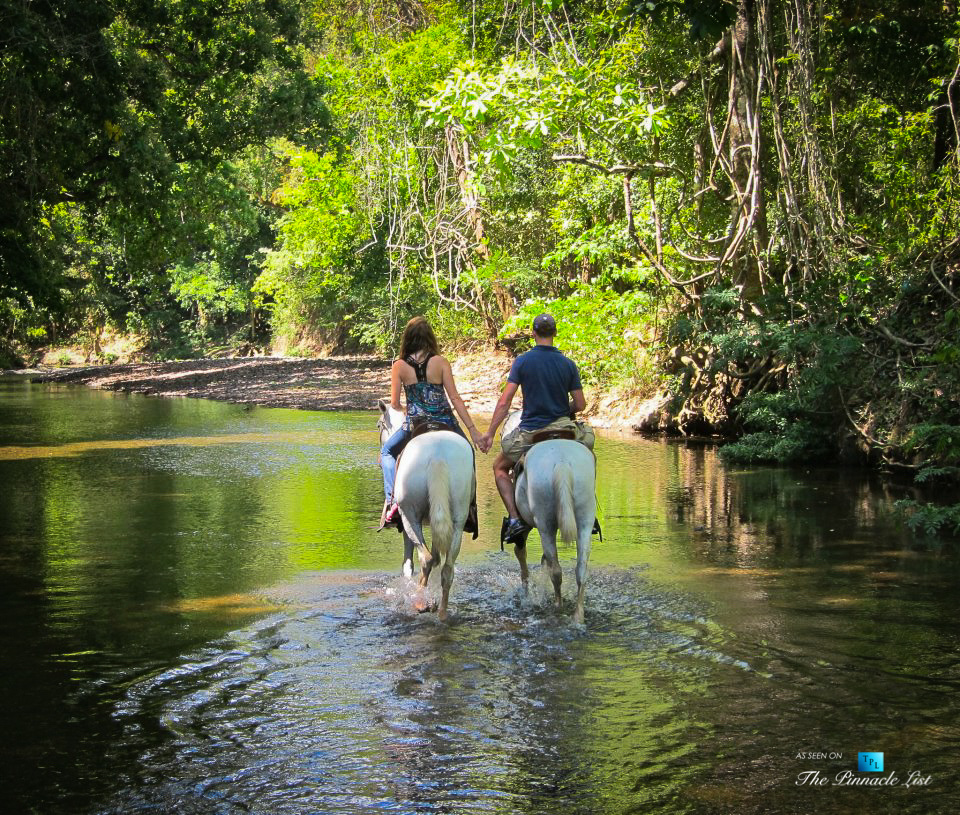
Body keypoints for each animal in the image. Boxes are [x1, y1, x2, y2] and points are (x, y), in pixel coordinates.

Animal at [378, 398, 476, 620]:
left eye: (379, 425)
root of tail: (437, 455)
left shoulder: (406, 527)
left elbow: (408, 565)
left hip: (409, 517)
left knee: (426, 558)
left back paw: (420, 602)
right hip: (458, 518)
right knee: (447, 567)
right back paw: (442, 612)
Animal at [502, 412, 592, 628]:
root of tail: (561, 461)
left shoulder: (526, 525)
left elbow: (521, 554)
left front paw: (527, 593)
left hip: (544, 524)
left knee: (556, 571)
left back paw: (557, 607)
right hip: (585, 521)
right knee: (580, 571)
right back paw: (577, 616)